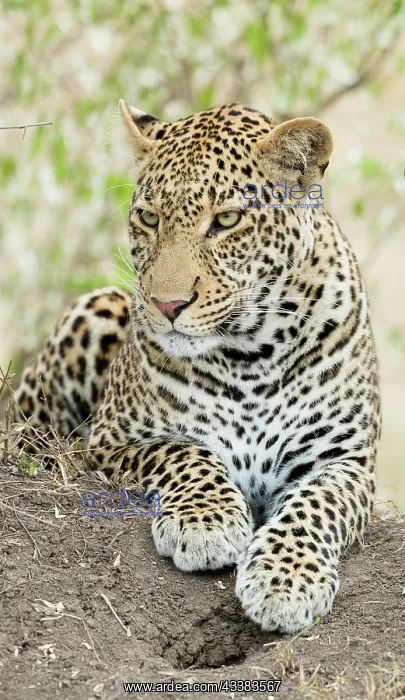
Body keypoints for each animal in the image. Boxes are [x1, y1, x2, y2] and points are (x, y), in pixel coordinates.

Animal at [14, 101, 381, 634]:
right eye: (149, 218)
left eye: (226, 220)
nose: (167, 305)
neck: (252, 355)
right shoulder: (112, 440)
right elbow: (185, 453)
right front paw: (207, 524)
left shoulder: (345, 461)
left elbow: (315, 506)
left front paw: (285, 581)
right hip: (94, 311)